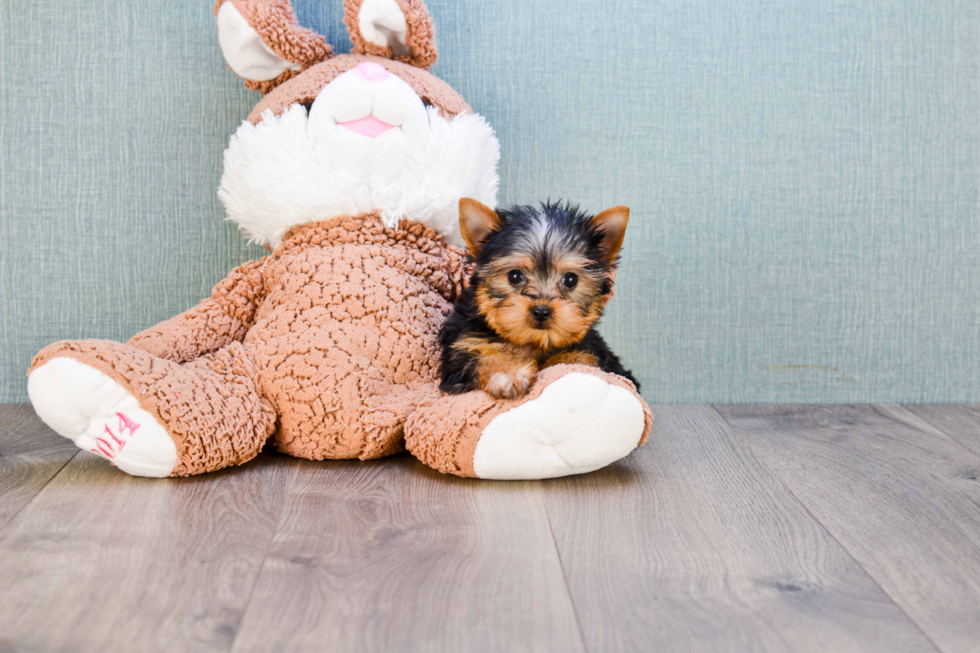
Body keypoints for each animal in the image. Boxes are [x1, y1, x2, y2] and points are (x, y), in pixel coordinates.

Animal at [440, 199, 640, 398]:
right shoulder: (464, 344)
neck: (534, 341)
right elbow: (483, 354)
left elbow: (577, 360)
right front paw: (507, 372)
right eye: (514, 276)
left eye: (571, 280)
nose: (542, 311)